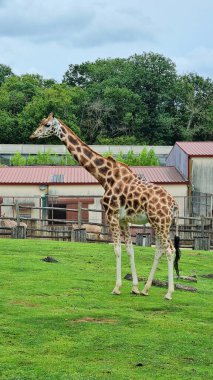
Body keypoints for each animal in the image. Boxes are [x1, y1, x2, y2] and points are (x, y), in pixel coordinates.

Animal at [30, 113, 180, 300]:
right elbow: (130, 249)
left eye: (47, 125)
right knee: (160, 250)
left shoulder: (111, 214)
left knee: (170, 250)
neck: (105, 176)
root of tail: (174, 204)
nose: (32, 136)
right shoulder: (123, 220)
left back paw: (169, 293)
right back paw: (146, 289)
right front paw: (135, 288)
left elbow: (117, 249)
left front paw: (117, 287)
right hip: (159, 223)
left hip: (160, 222)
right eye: (41, 123)